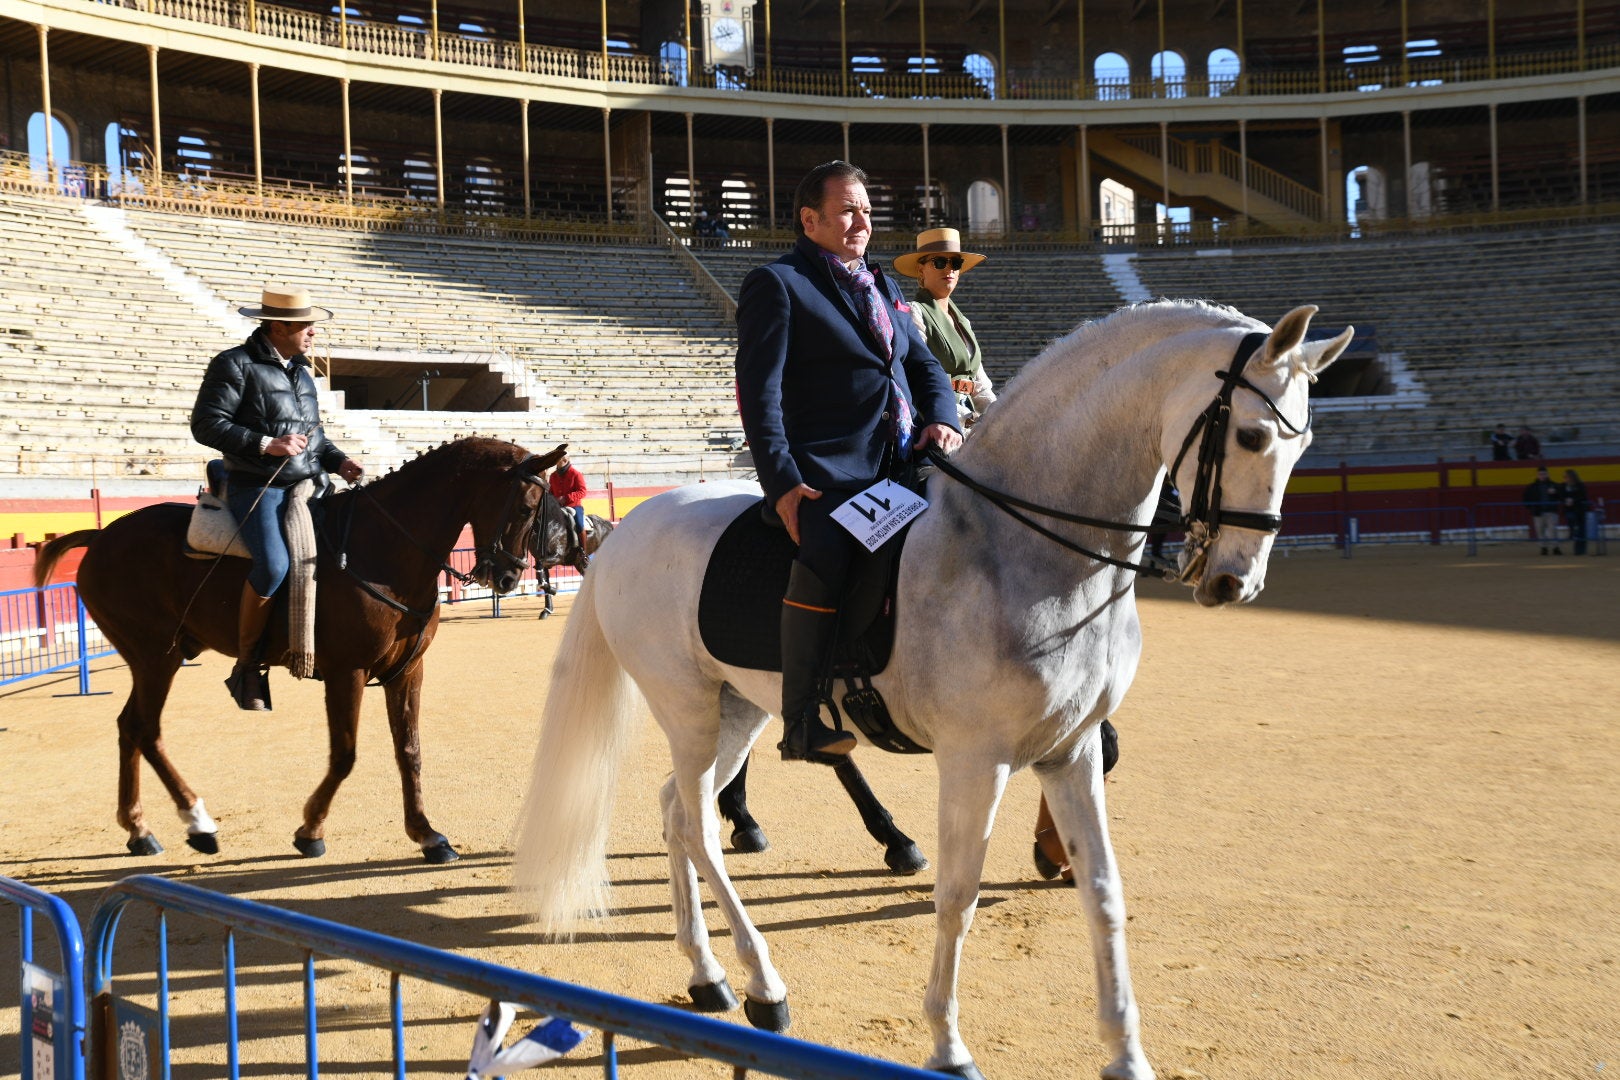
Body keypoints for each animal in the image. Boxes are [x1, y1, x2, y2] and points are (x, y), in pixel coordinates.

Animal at [33, 433, 570, 867]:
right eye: (526, 508)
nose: (508, 577)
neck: (384, 548)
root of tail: (103, 535)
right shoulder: (348, 672)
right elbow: (346, 754)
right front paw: (310, 830)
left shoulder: (406, 672)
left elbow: (410, 751)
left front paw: (427, 834)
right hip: (156, 657)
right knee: (146, 729)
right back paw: (198, 823)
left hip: (152, 659)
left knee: (129, 727)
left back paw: (138, 829)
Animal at [511, 302, 1347, 1080]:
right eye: (1251, 437)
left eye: (1304, 445)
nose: (1236, 581)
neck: (1026, 546)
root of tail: (633, 524)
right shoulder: (976, 760)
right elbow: (957, 896)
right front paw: (947, 1046)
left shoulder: (1070, 752)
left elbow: (1104, 893)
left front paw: (1125, 1054)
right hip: (687, 706)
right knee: (698, 826)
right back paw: (763, 986)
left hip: (738, 710)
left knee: (676, 813)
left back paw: (708, 975)